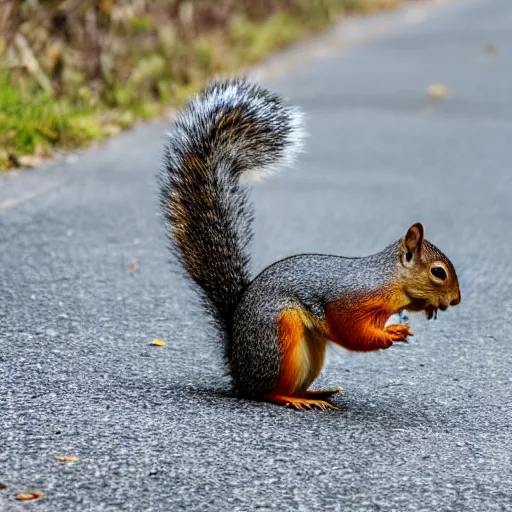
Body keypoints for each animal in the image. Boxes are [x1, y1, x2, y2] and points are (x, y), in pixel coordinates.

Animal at [159, 78, 460, 410]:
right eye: (438, 272)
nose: (456, 300)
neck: (387, 280)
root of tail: (238, 367)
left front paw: (396, 327)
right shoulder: (349, 301)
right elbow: (351, 330)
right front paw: (388, 336)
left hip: (312, 349)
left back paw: (315, 394)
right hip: (280, 334)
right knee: (265, 391)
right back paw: (291, 398)